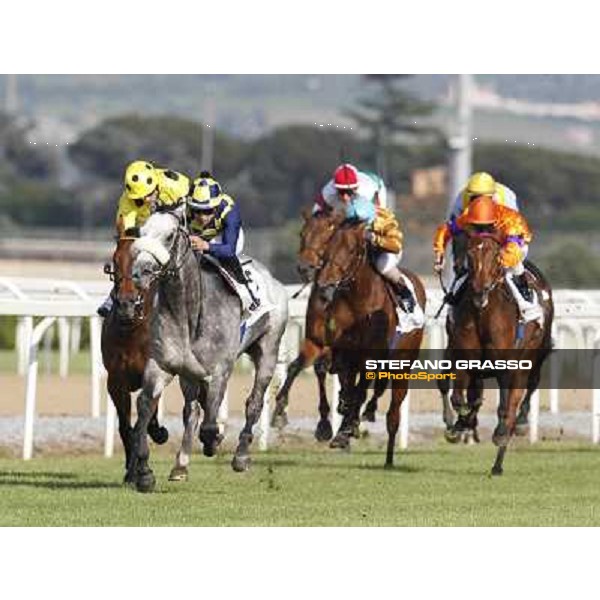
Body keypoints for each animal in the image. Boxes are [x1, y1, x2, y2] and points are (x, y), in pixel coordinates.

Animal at [126, 206, 288, 492]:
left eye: (169, 236)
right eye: (141, 232)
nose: (140, 272)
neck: (188, 313)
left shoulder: (220, 370)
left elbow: (211, 423)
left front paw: (214, 441)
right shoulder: (162, 365)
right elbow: (145, 406)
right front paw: (144, 473)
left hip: (268, 349)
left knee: (254, 403)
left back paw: (240, 456)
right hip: (188, 374)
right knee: (192, 411)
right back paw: (180, 465)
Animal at [314, 217, 426, 468]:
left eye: (351, 250)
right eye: (327, 246)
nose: (325, 284)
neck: (358, 301)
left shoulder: (369, 357)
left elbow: (359, 391)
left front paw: (346, 429)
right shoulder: (342, 351)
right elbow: (332, 374)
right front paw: (335, 424)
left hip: (402, 366)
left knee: (392, 414)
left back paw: (389, 458)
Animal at [446, 232, 552, 476]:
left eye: (496, 256)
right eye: (470, 253)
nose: (479, 291)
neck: (483, 313)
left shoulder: (506, 364)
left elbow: (503, 407)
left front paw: (499, 431)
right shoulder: (465, 358)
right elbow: (460, 398)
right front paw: (461, 424)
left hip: (533, 358)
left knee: (523, 395)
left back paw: (513, 432)